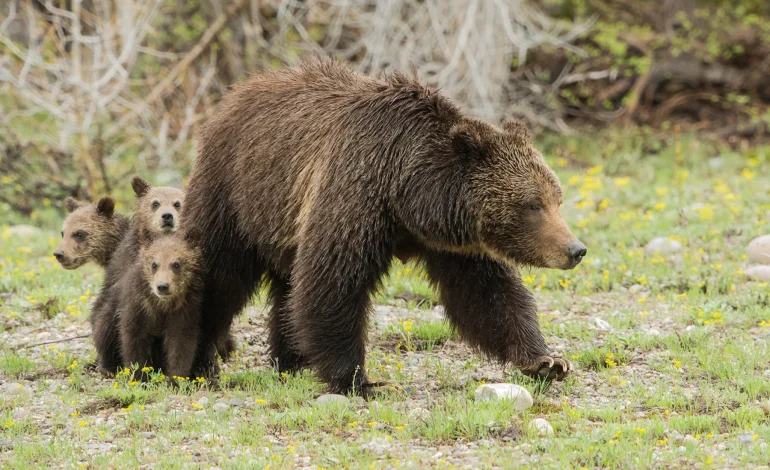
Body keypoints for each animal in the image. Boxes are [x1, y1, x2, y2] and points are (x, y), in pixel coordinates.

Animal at [184, 59, 584, 396]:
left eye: (557, 198)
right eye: (534, 205)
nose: (575, 249)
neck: (407, 194)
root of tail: (235, 93)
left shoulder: (452, 243)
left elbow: (487, 294)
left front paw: (547, 360)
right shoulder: (357, 191)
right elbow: (333, 282)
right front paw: (358, 380)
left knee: (287, 287)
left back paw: (293, 361)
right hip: (235, 192)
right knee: (220, 276)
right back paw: (200, 363)